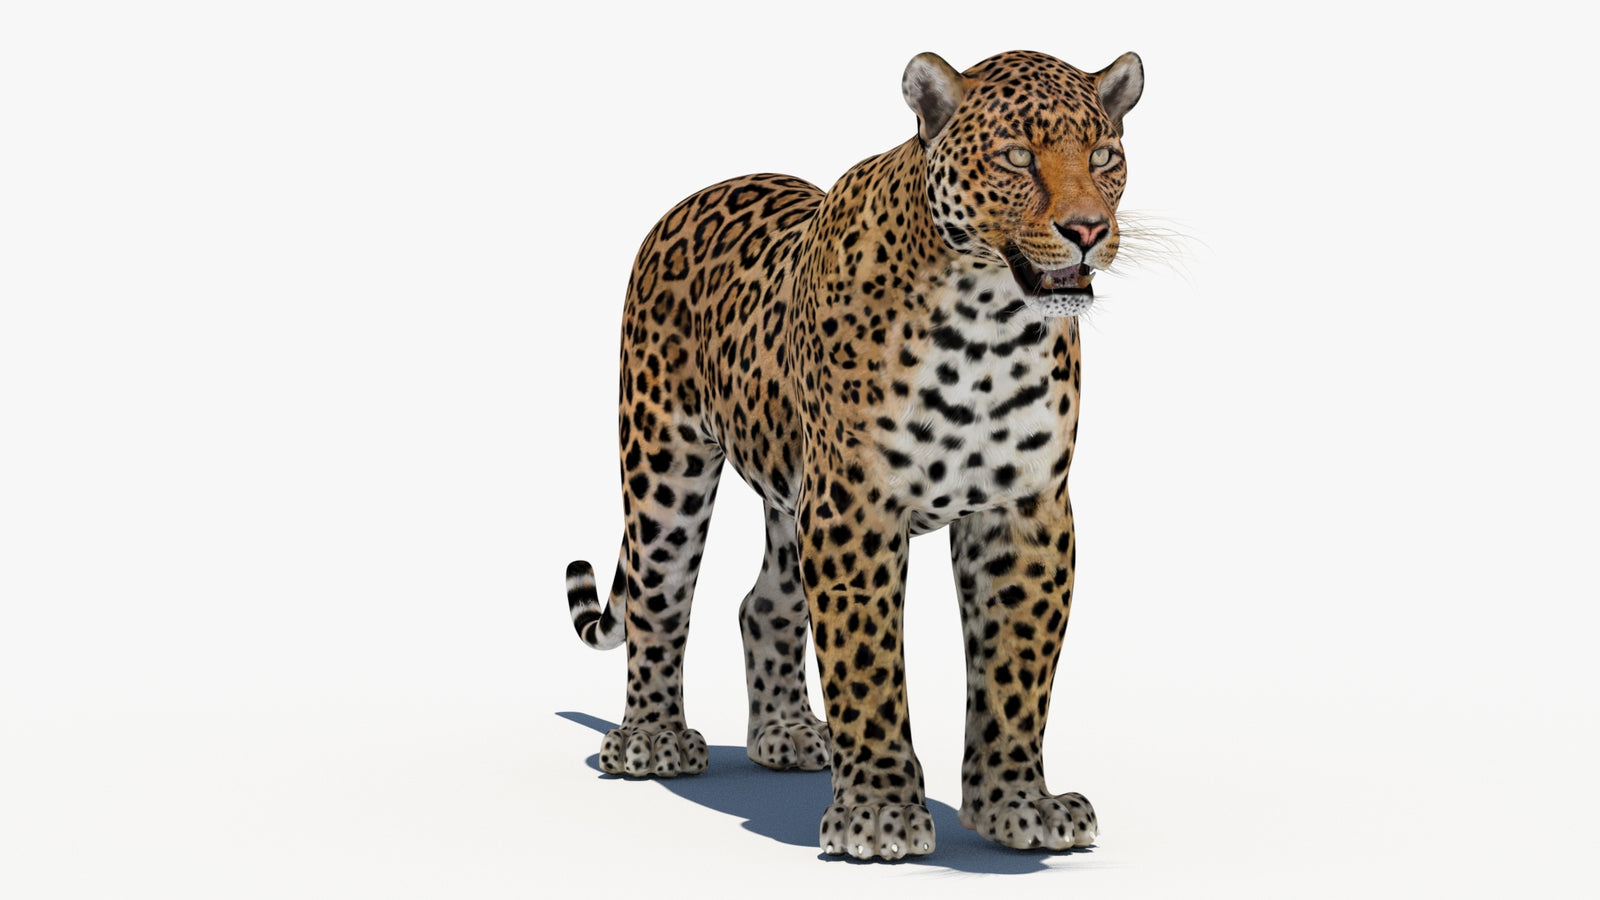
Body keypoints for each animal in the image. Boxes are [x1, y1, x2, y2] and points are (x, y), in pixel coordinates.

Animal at [564, 48, 1143, 860]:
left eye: (1103, 156)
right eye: (1016, 157)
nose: (1089, 228)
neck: (988, 327)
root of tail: (697, 195)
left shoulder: (1024, 510)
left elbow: (1015, 669)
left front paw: (1018, 805)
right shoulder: (854, 508)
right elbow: (865, 662)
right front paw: (878, 813)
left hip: (790, 492)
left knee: (763, 604)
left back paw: (787, 732)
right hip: (664, 461)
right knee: (659, 595)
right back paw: (651, 740)